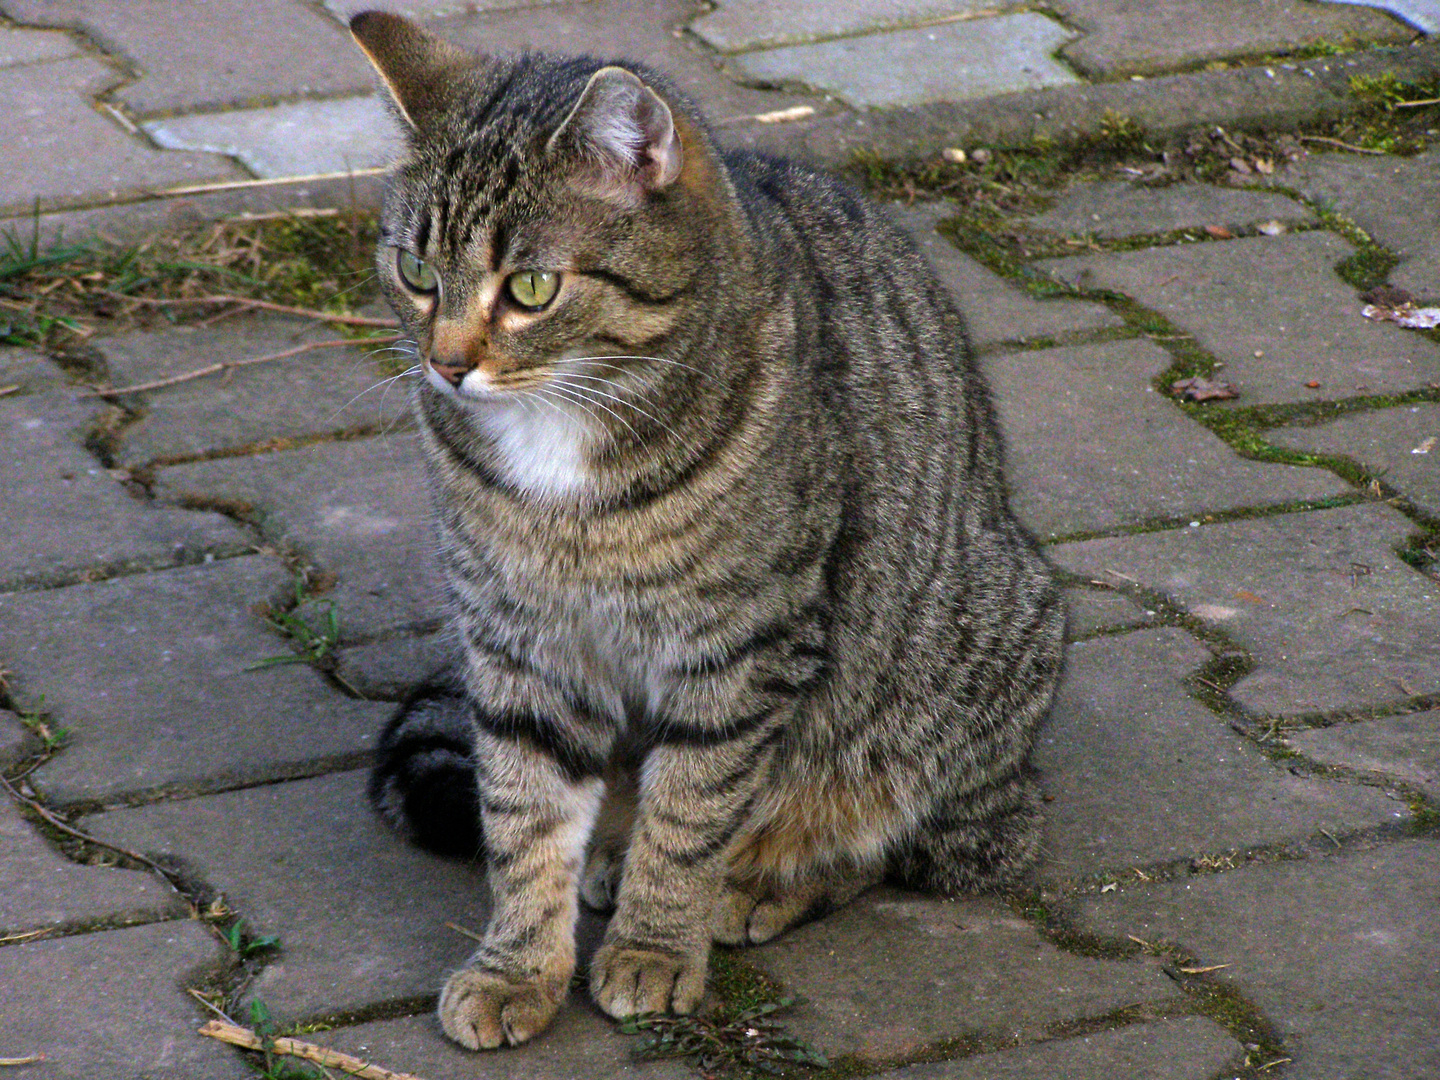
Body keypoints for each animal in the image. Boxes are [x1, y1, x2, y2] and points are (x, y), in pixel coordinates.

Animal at [352, 12, 1065, 1054]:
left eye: (531, 287)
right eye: (415, 273)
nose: (444, 366)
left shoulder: (744, 644)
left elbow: (691, 812)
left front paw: (655, 943)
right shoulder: (519, 643)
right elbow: (523, 815)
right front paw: (517, 966)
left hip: (953, 675)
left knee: (924, 841)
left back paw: (762, 881)